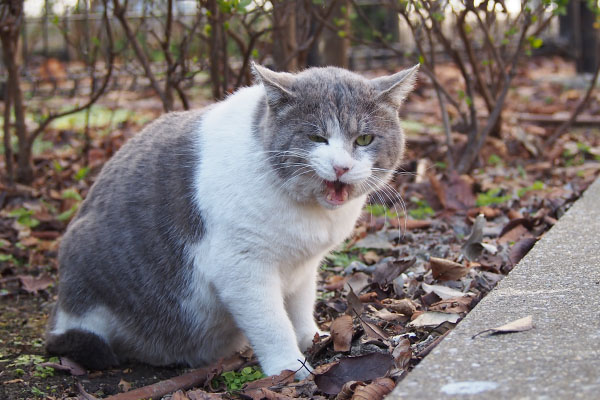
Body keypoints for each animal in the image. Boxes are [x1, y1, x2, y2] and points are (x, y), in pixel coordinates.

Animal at [44, 62, 418, 378]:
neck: (309, 214)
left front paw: (313, 339)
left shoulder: (303, 267)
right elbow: (272, 324)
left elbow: (300, 309)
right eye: (316, 137)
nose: (341, 167)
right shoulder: (241, 266)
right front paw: (290, 369)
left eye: (364, 139)